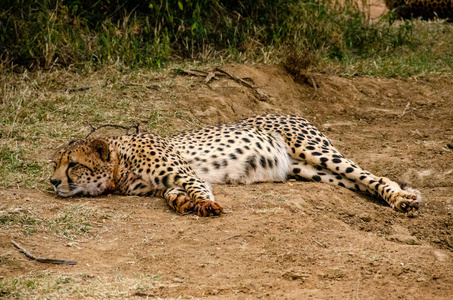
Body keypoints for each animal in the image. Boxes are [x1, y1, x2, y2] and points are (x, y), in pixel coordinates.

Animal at [50, 114, 420, 216]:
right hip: (309, 170)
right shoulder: (164, 183)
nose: (53, 182)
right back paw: (398, 196)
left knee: (370, 175)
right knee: (364, 182)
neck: (119, 165)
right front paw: (183, 203)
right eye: (54, 164)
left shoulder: (185, 172)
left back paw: (402, 199)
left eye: (72, 165)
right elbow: (172, 194)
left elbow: (198, 187)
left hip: (316, 152)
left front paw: (205, 205)